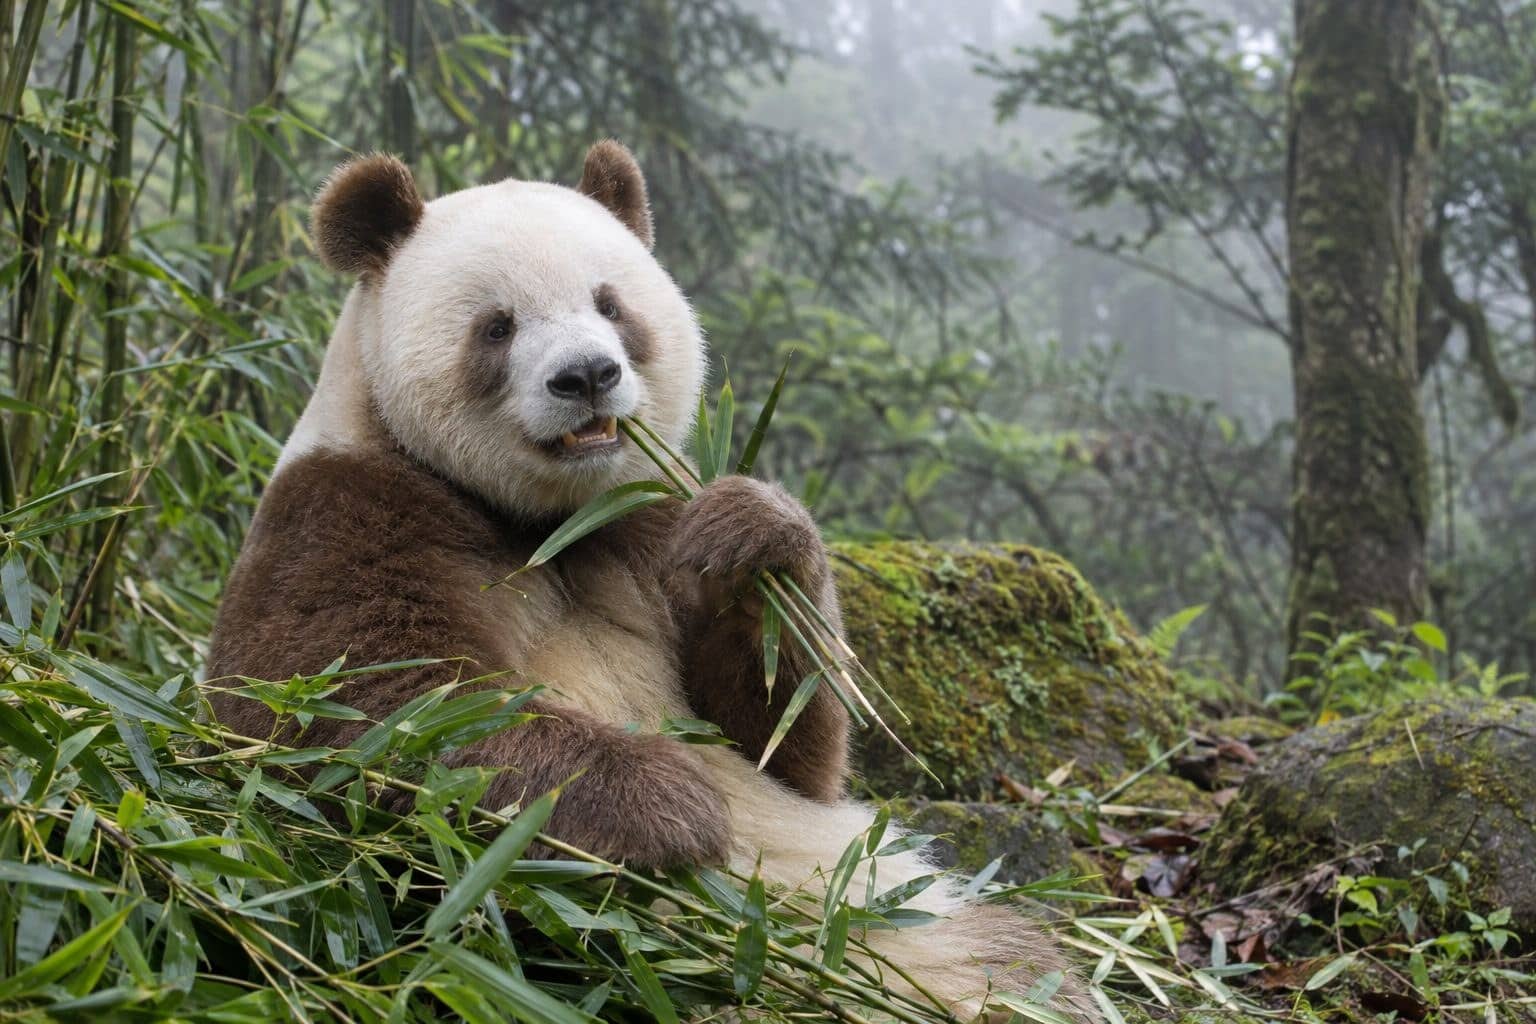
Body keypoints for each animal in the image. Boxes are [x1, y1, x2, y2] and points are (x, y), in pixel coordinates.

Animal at [207, 141, 1094, 1021]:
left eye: (610, 304)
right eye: (497, 325)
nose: (588, 375)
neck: (547, 521)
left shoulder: (648, 526)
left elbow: (781, 740)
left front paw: (755, 536)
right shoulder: (347, 509)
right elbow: (358, 713)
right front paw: (672, 804)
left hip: (909, 916)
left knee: (1016, 966)